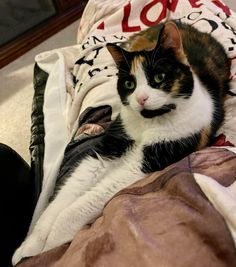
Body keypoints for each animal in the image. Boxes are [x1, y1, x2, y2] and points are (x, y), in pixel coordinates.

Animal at [12, 21, 229, 264]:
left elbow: (79, 206)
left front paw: (52, 241)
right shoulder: (110, 146)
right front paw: (31, 245)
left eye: (159, 78)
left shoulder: (148, 160)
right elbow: (64, 196)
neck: (149, 121)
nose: (141, 98)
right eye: (129, 83)